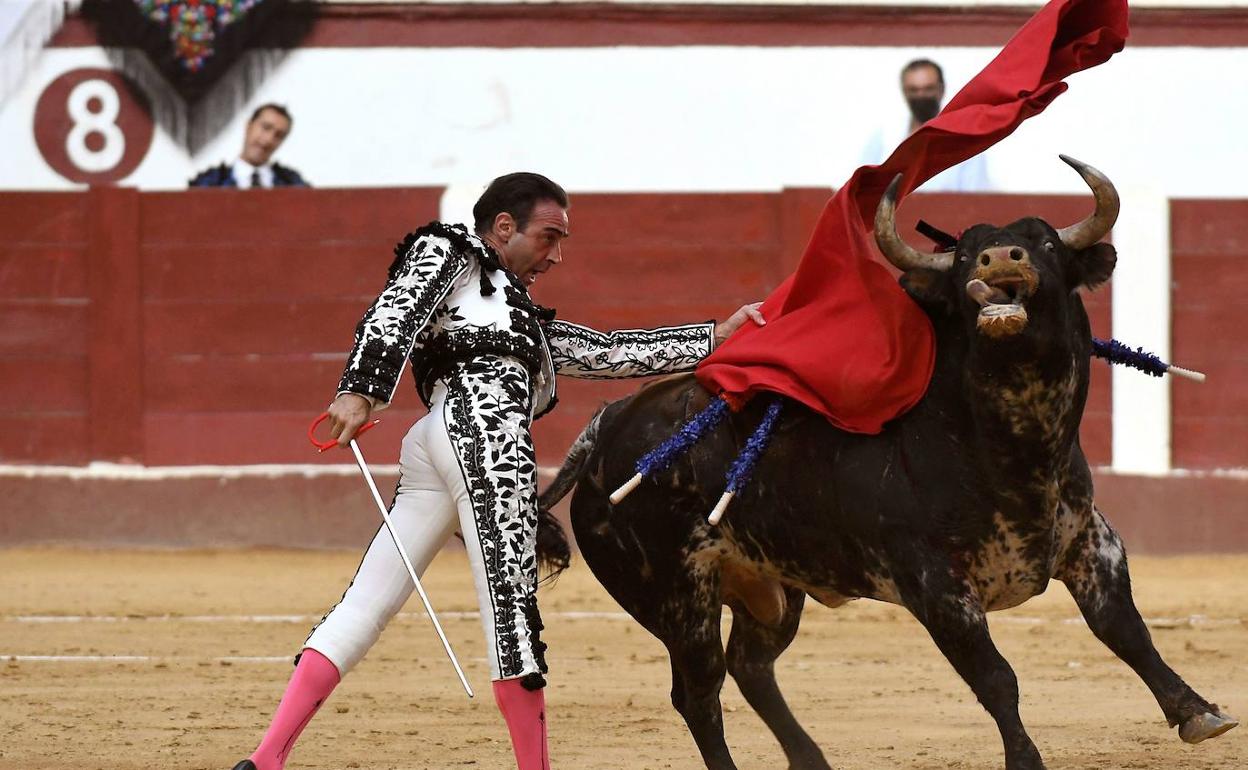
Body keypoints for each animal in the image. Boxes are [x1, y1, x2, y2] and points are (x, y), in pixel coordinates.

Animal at [544, 157, 1238, 768]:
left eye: (1042, 242)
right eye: (965, 257)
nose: (998, 258)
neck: (1014, 449)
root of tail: (608, 422)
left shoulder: (1091, 542)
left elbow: (1126, 630)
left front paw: (1197, 712)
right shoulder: (937, 588)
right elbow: (997, 679)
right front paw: (1026, 760)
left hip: (772, 588)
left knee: (749, 667)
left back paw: (812, 759)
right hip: (676, 599)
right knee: (699, 692)